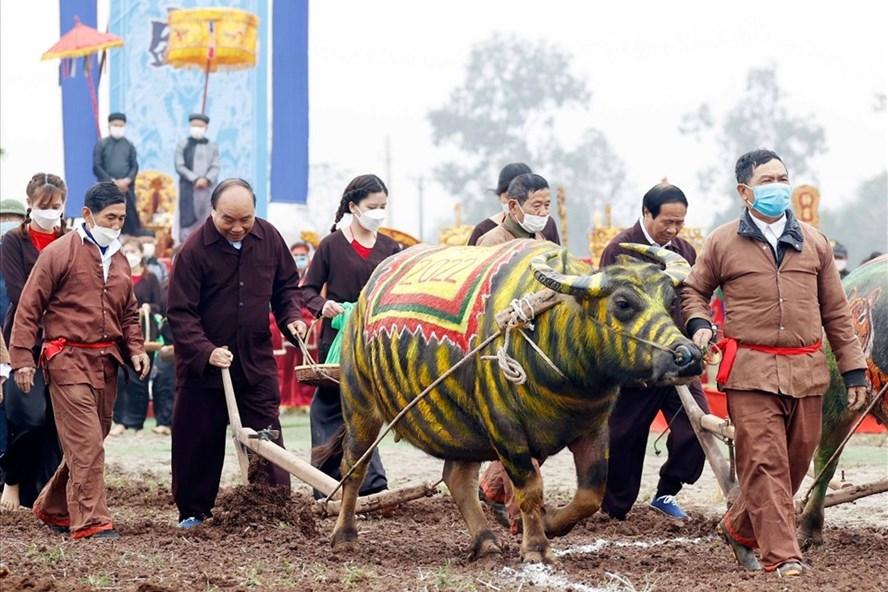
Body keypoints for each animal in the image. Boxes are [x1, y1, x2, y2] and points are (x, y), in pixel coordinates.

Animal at [318, 239, 700, 560]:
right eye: (622, 304)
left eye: (670, 301)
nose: (689, 356)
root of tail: (363, 299)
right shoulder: (505, 428)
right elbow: (530, 489)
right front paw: (536, 548)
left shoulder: (593, 428)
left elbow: (590, 494)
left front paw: (551, 523)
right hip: (359, 402)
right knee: (353, 467)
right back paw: (345, 537)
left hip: (460, 423)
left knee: (457, 477)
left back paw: (486, 542)